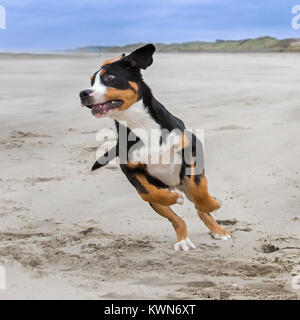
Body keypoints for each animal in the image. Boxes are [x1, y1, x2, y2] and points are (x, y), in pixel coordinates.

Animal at [79, 44, 230, 250]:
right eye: (91, 81)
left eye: (109, 77)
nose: (83, 93)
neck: (139, 124)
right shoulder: (130, 169)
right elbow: (147, 192)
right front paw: (175, 198)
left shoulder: (192, 149)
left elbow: (200, 192)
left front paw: (214, 203)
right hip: (158, 201)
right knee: (175, 217)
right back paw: (183, 239)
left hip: (186, 179)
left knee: (199, 205)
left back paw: (218, 230)